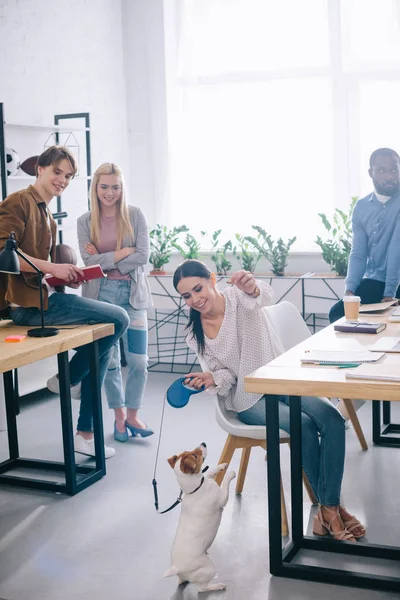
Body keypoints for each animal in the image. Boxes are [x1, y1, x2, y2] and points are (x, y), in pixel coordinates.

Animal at [164, 442, 236, 592]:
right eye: (195, 455)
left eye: (190, 451)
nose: (203, 443)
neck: (195, 489)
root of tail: (176, 567)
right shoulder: (222, 499)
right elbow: (224, 485)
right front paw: (230, 473)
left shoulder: (206, 478)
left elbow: (209, 472)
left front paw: (222, 466)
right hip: (209, 568)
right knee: (202, 588)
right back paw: (218, 585)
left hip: (184, 575)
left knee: (181, 580)